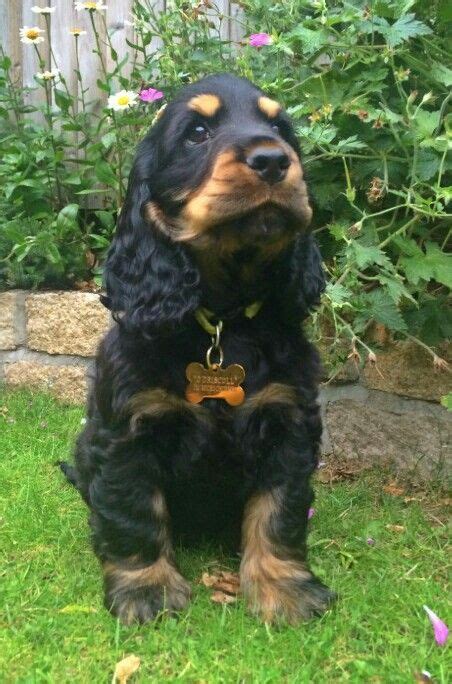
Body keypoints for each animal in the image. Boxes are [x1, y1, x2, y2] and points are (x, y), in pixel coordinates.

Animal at [61, 73, 336, 624]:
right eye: (197, 133)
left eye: (281, 128)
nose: (273, 160)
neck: (222, 320)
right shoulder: (128, 432)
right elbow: (133, 510)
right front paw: (145, 589)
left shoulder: (288, 423)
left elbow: (278, 510)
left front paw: (284, 587)